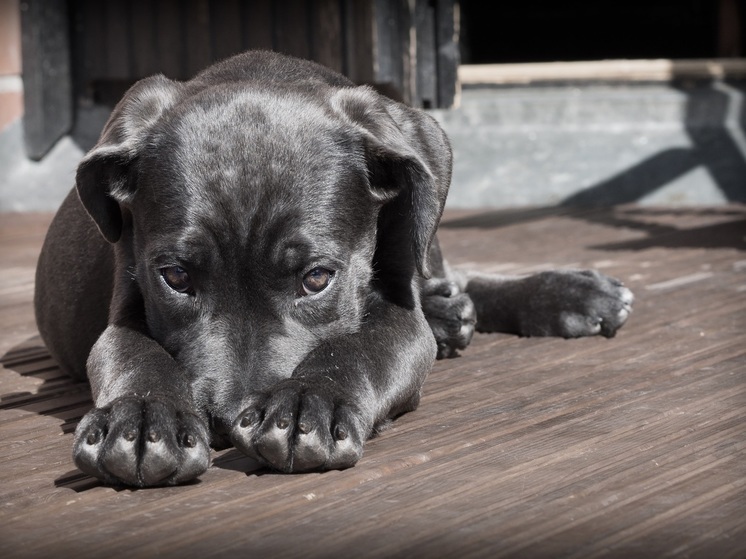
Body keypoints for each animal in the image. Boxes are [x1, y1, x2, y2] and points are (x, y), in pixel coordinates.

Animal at [33, 52, 628, 490]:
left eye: (317, 278)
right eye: (175, 277)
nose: (225, 420)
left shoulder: (398, 312)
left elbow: (359, 347)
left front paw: (306, 402)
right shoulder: (125, 304)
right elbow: (133, 353)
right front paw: (141, 418)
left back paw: (566, 294)